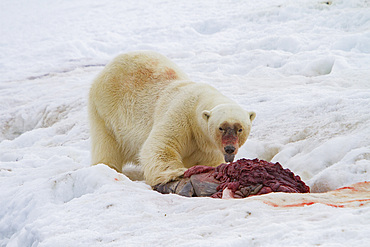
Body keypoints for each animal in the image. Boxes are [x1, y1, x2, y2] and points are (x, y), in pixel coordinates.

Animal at [89, 51, 256, 185]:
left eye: (240, 129)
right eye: (221, 127)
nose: (230, 148)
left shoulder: (207, 143)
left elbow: (209, 160)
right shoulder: (180, 115)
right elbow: (161, 145)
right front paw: (176, 173)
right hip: (105, 111)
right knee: (107, 145)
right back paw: (108, 168)